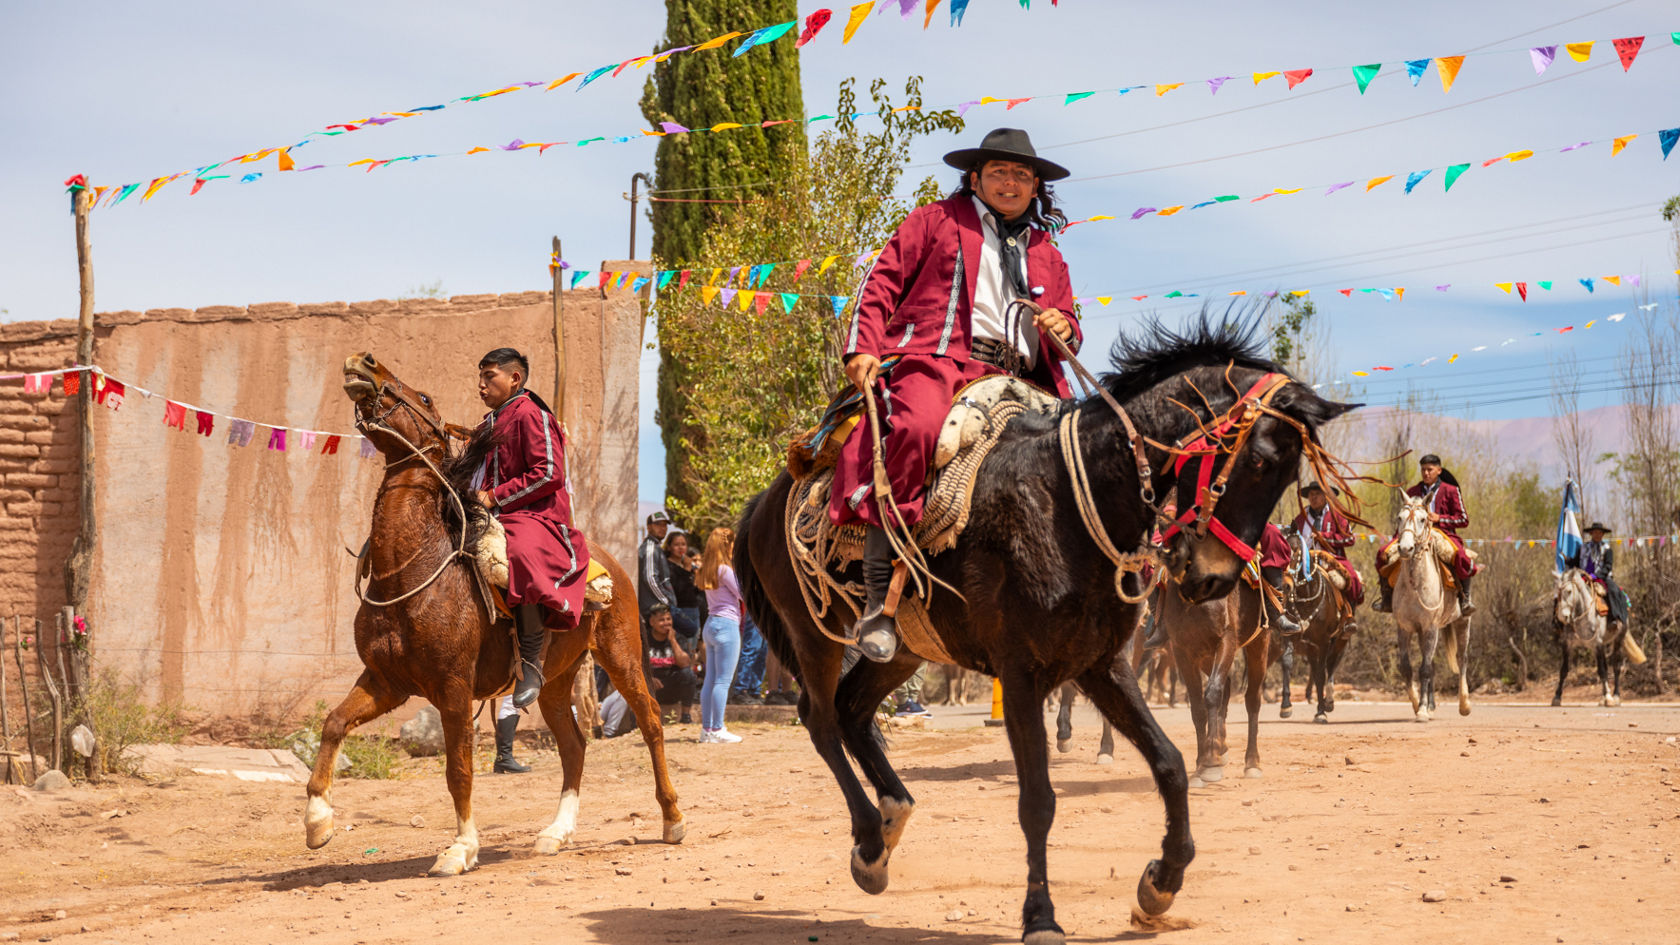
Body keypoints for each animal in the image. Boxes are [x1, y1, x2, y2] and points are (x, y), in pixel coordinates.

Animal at [309, 354, 682, 874]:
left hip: (622, 655)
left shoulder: (452, 687)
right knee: (574, 745)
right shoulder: (387, 682)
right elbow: (333, 724)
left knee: (650, 722)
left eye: (424, 397)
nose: (364, 362)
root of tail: (612, 565)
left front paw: (461, 848)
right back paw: (556, 833)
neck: (411, 573)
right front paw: (317, 820)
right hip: (555, 681)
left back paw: (672, 819)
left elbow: (459, 770)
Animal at [1162, 575, 1276, 780]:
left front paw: (1210, 763)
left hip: (1259, 643)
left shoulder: (1226, 640)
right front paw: (1201, 763)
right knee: (1227, 685)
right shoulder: (1182, 650)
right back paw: (1220, 746)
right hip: (1205, 657)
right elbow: (1198, 707)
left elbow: (1213, 693)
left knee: (1252, 699)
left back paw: (1252, 762)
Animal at [1391, 497, 1471, 716]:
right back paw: (1432, 704)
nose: (1405, 549)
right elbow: (1407, 668)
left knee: (1461, 658)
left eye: (1423, 519)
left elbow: (1425, 669)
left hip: (1463, 622)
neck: (1415, 585)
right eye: (1399, 517)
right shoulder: (1405, 628)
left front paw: (1422, 711)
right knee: (1433, 663)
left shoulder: (1431, 627)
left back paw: (1464, 704)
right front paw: (1417, 703)